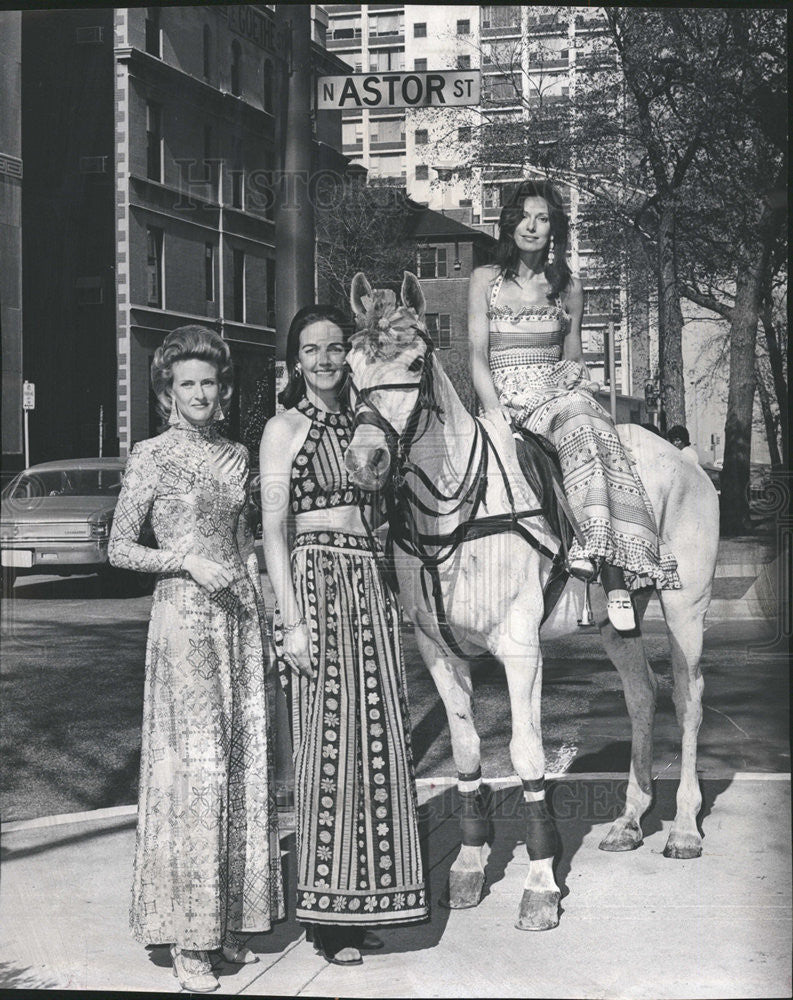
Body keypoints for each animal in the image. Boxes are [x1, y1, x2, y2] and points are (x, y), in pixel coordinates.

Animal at [344, 272, 720, 928]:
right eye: (348, 367)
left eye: (415, 363)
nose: (367, 462)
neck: (454, 512)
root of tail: (689, 459)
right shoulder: (440, 651)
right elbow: (468, 749)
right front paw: (469, 867)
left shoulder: (520, 649)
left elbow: (524, 755)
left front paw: (541, 881)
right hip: (617, 620)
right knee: (641, 695)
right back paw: (629, 819)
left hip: (685, 610)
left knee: (689, 699)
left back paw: (684, 828)